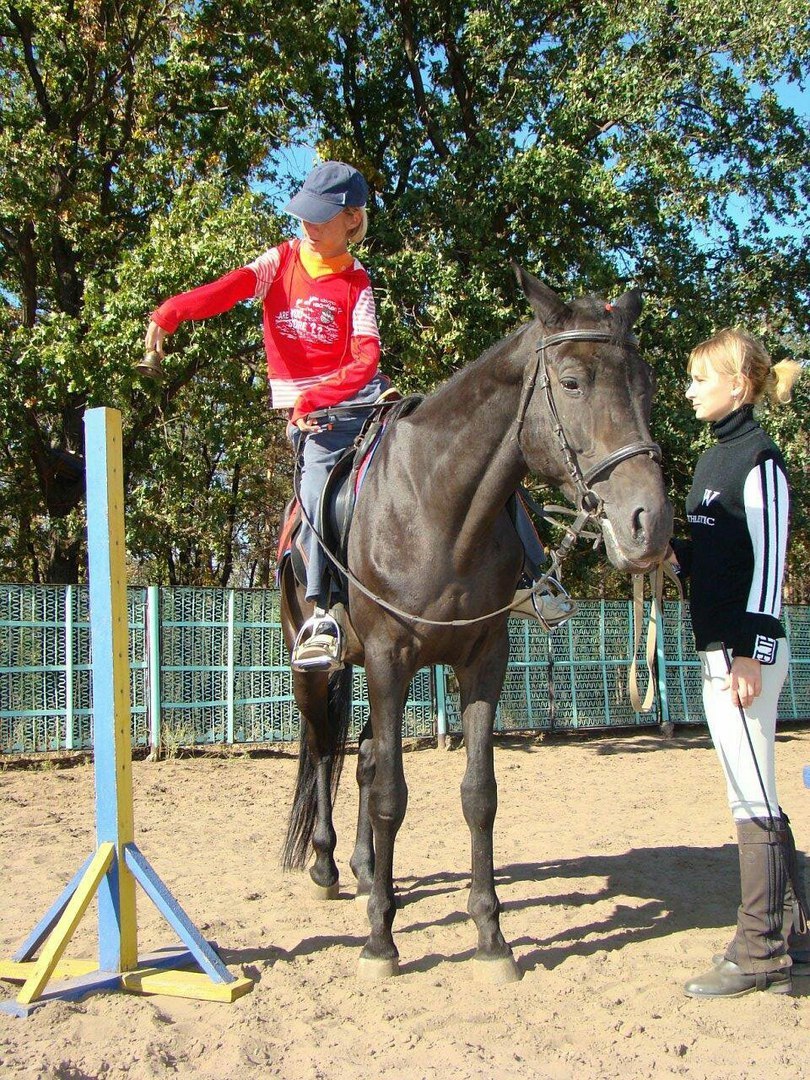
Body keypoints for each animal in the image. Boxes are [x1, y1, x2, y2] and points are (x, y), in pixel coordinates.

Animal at [278, 267, 673, 980]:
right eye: (572, 381)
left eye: (648, 385)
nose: (648, 524)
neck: (438, 505)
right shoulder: (390, 658)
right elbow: (393, 793)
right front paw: (381, 941)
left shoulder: (485, 659)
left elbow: (477, 793)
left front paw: (491, 934)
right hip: (321, 669)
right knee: (324, 749)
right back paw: (326, 866)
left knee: (364, 757)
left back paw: (367, 868)